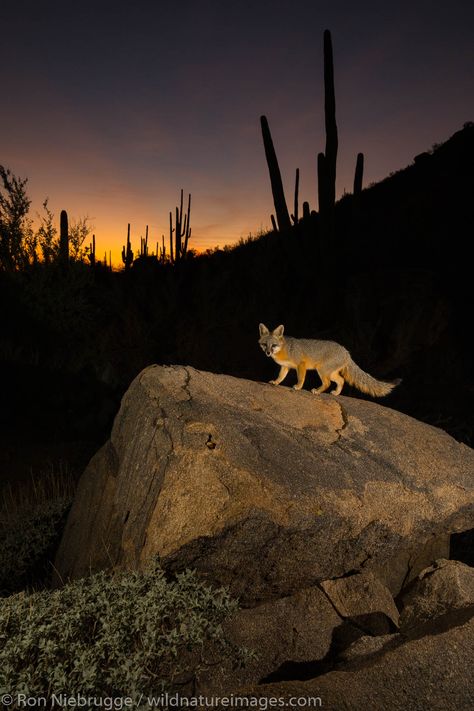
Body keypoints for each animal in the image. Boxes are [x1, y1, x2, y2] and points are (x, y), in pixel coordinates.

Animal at [260, 326, 400, 398]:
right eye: (264, 345)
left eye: (273, 345)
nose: (268, 353)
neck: (284, 348)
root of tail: (346, 352)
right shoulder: (285, 367)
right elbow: (281, 377)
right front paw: (275, 382)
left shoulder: (301, 364)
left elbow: (301, 378)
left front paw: (298, 387)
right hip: (330, 373)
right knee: (341, 381)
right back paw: (336, 393)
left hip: (322, 371)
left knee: (327, 383)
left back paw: (317, 391)